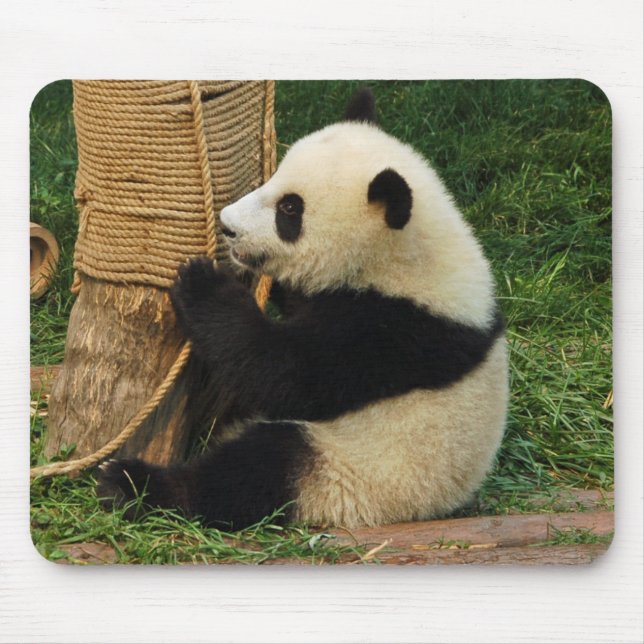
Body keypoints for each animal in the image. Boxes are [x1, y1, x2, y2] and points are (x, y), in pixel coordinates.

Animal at [97, 88, 509, 530]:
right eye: (276, 177)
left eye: (290, 210)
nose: (227, 226)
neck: (406, 254)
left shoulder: (395, 329)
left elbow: (286, 375)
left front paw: (202, 284)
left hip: (351, 475)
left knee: (257, 469)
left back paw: (133, 484)